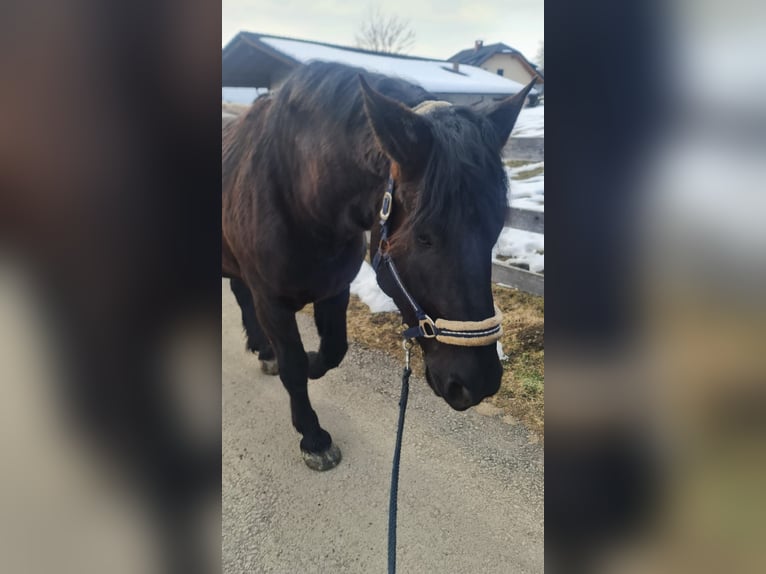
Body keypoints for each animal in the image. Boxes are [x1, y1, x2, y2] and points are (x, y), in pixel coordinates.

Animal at [222, 61, 535, 470]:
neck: (296, 196)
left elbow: (333, 351)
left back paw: (263, 350)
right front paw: (313, 436)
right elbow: (293, 368)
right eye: (424, 236)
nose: (478, 382)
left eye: (496, 229)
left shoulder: (335, 289)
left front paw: (311, 362)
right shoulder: (271, 302)